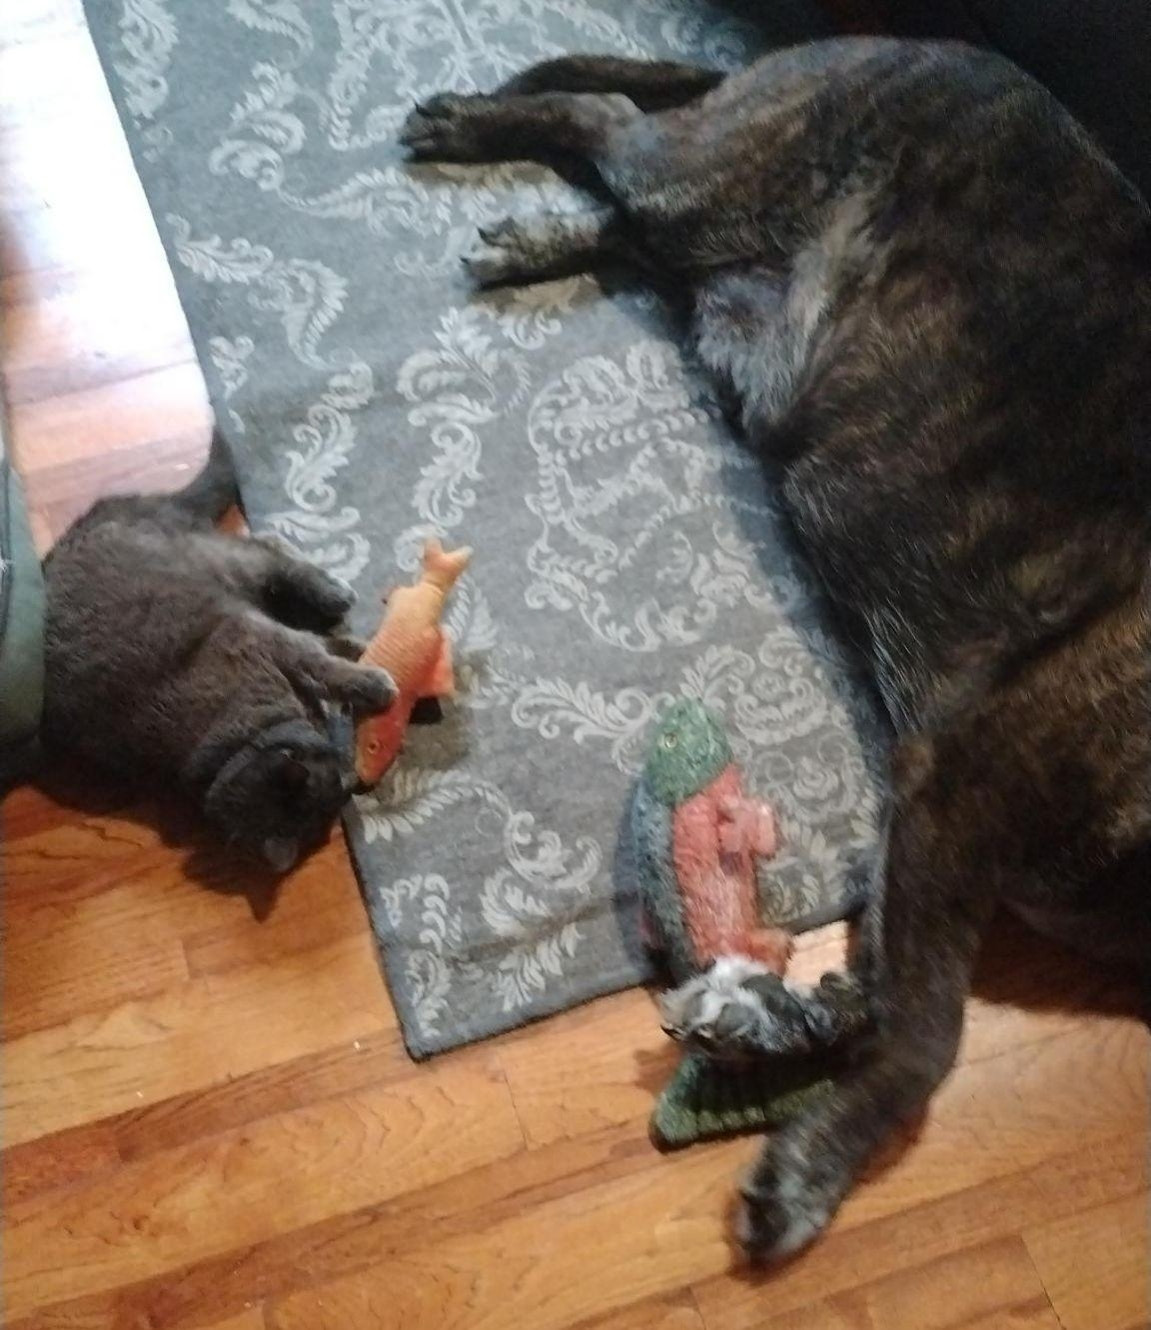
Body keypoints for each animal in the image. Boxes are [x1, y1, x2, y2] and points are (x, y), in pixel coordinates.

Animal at [40, 428, 393, 872]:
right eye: (339, 787)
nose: (355, 778)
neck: (231, 739)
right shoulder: (268, 640)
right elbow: (323, 657)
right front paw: (367, 670)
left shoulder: (258, 637)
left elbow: (322, 659)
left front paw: (368, 668)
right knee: (261, 547)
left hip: (210, 559)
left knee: (265, 545)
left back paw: (333, 592)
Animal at [396, 33, 1149, 1255]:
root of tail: (929, 44)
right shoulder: (952, 793)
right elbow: (926, 1032)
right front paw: (813, 1165)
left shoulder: (922, 830)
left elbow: (878, 993)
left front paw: (790, 1027)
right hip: (716, 173)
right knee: (609, 120)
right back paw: (474, 125)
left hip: (720, 256)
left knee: (635, 221)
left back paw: (537, 242)